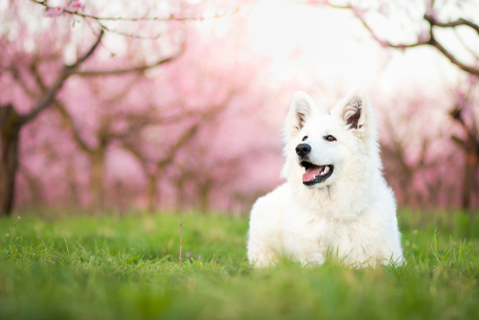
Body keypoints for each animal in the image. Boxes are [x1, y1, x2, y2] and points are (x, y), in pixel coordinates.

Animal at [248, 90, 404, 268]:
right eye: (304, 138)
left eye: (330, 138)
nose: (301, 148)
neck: (337, 210)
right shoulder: (310, 260)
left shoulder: (392, 259)